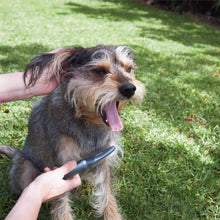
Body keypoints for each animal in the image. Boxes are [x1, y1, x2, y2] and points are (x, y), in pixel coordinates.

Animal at [0, 45, 146, 219]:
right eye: (100, 70)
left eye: (128, 69)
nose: (130, 88)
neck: (87, 122)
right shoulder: (60, 166)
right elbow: (62, 206)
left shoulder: (104, 161)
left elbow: (108, 197)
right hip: (25, 167)